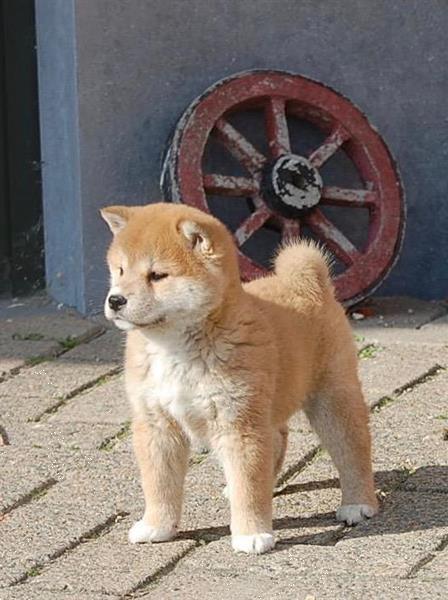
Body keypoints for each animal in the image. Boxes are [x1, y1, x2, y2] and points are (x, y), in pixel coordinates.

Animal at [101, 204, 378, 556]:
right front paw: (156, 526)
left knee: (352, 449)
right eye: (120, 270)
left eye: (157, 276)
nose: (115, 300)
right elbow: (159, 483)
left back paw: (358, 504)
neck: (174, 348)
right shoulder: (156, 424)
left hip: (331, 397)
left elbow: (249, 485)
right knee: (277, 440)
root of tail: (307, 282)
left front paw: (251, 534)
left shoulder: (239, 424)